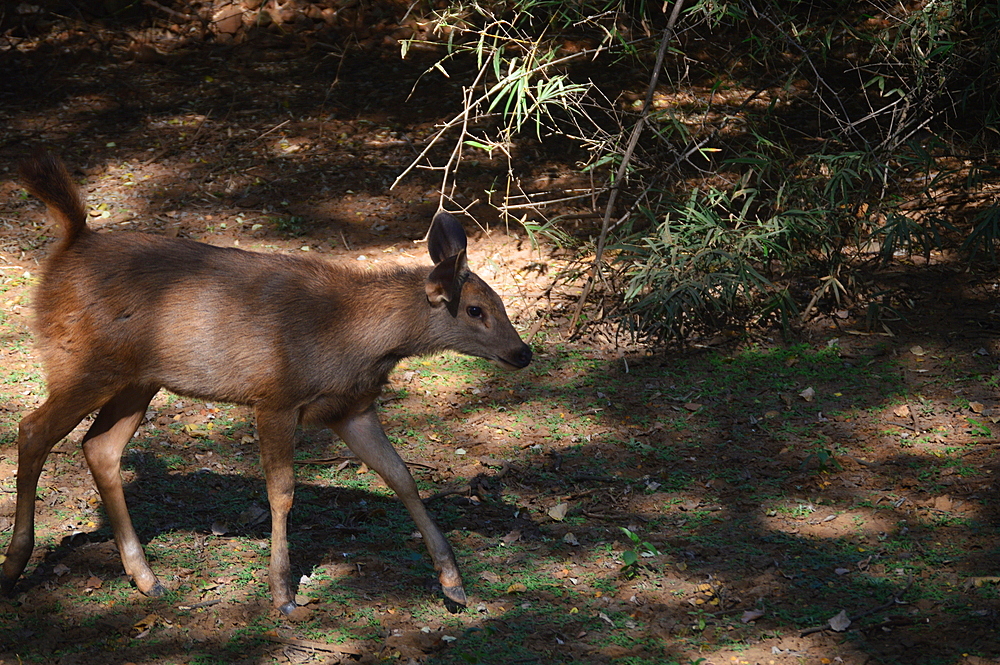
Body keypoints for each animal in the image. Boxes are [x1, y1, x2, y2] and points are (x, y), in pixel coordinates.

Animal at [3, 153, 532, 616]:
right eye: (475, 310)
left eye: (501, 302)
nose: (522, 353)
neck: (354, 338)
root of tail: (69, 244)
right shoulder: (276, 396)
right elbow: (282, 491)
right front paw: (282, 592)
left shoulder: (351, 408)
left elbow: (401, 476)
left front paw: (453, 582)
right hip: (83, 363)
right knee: (33, 430)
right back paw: (15, 564)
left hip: (139, 380)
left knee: (100, 447)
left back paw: (146, 577)